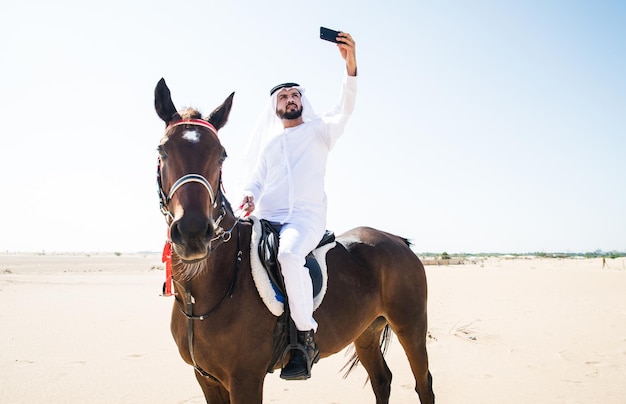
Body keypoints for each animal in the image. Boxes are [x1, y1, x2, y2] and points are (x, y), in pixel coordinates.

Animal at [154, 77, 432, 402]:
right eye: (162, 150)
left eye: (221, 154)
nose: (193, 233)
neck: (204, 291)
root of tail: (398, 241)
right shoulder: (206, 379)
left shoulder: (245, 379)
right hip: (365, 332)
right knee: (381, 380)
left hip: (411, 326)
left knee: (423, 383)